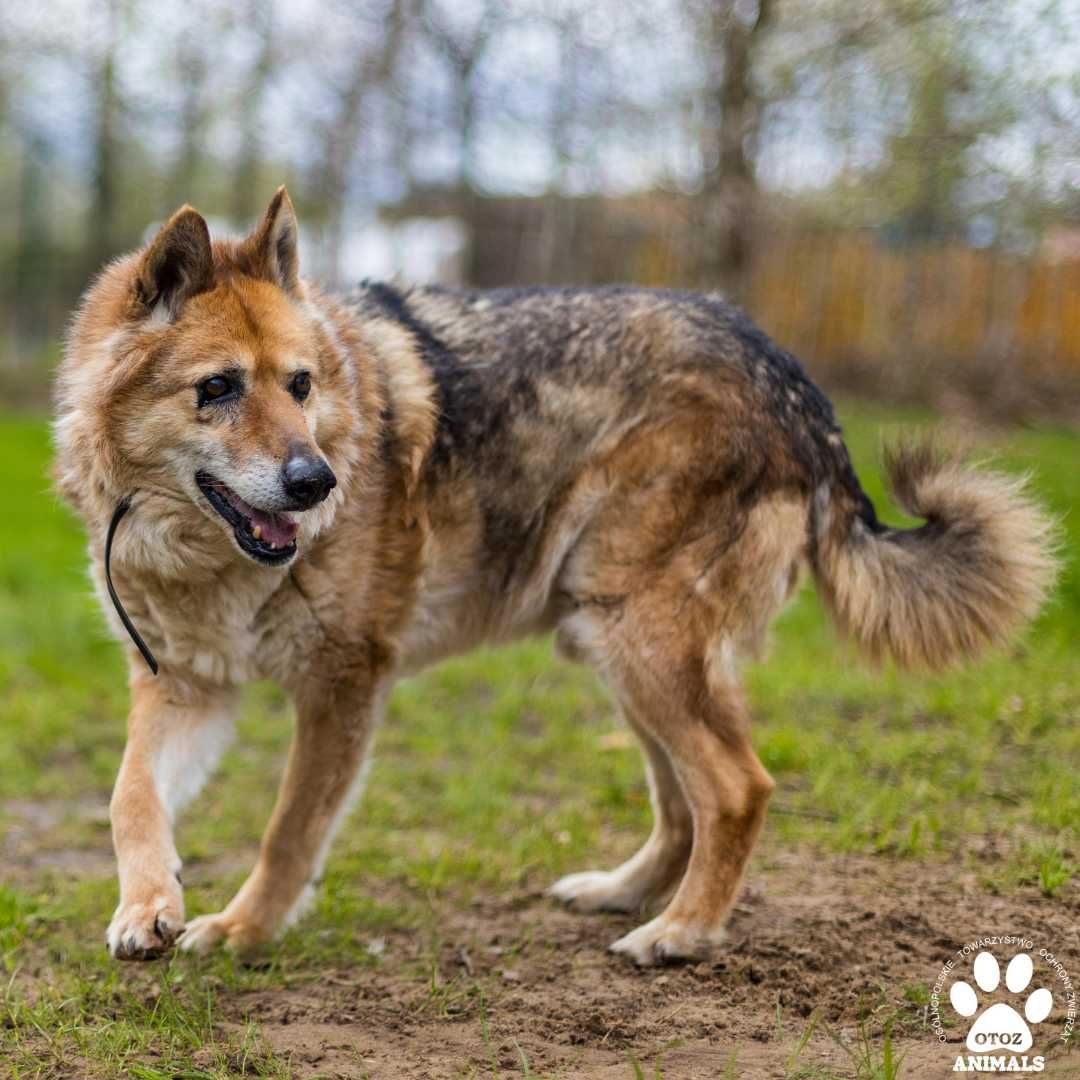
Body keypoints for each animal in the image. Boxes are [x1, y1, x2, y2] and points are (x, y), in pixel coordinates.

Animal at [54, 190, 1058, 967]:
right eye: (218, 389)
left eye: (300, 386)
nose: (316, 483)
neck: (195, 549)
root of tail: (794, 380)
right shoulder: (184, 687)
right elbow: (128, 798)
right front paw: (147, 907)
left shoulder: (343, 686)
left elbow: (289, 831)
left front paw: (243, 931)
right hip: (612, 643)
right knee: (685, 804)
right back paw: (623, 894)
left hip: (636, 638)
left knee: (738, 789)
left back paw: (680, 935)